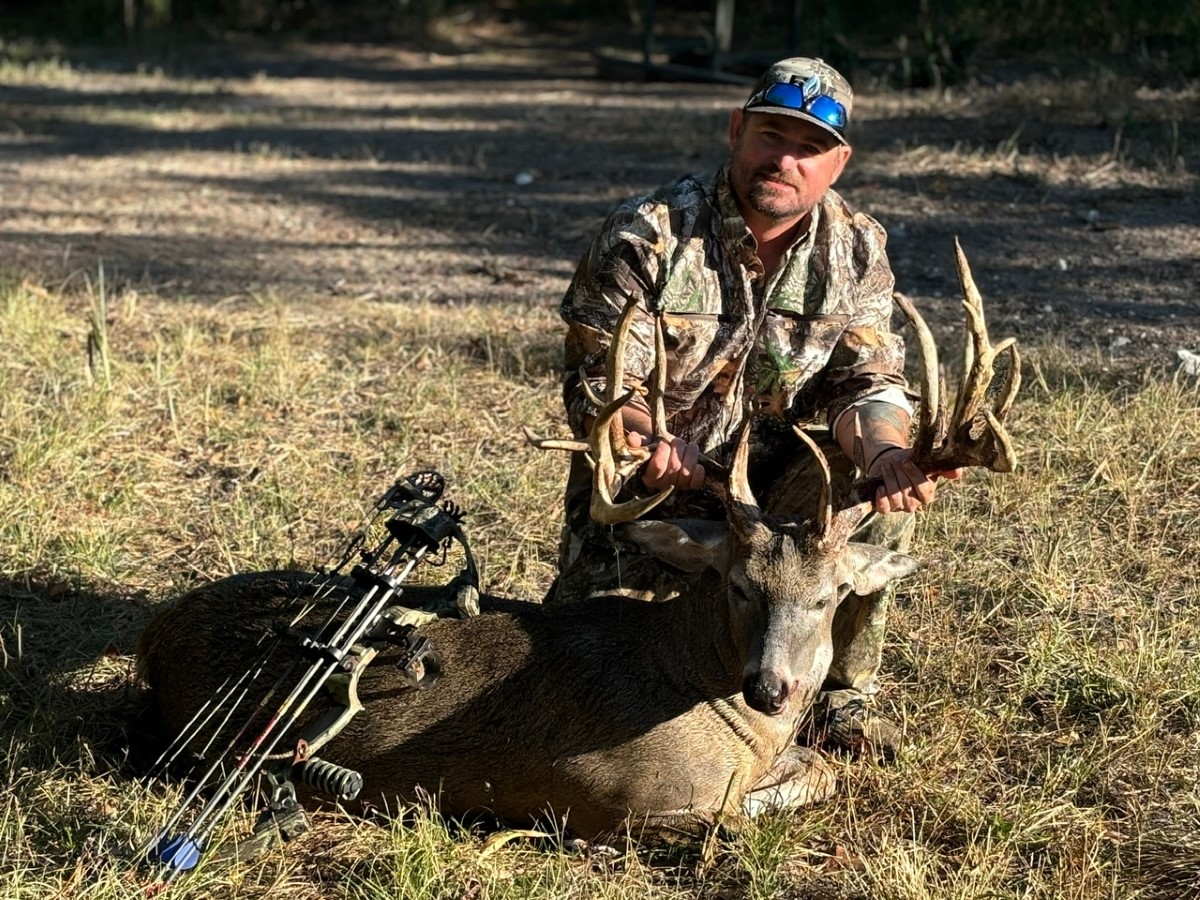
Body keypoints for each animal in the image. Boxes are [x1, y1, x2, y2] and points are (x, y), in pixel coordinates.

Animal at [137, 241, 1019, 843]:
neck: (714, 702)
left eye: (834, 594)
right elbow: (755, 810)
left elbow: (821, 767)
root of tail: (153, 634)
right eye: (740, 584)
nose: (774, 688)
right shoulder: (608, 795)